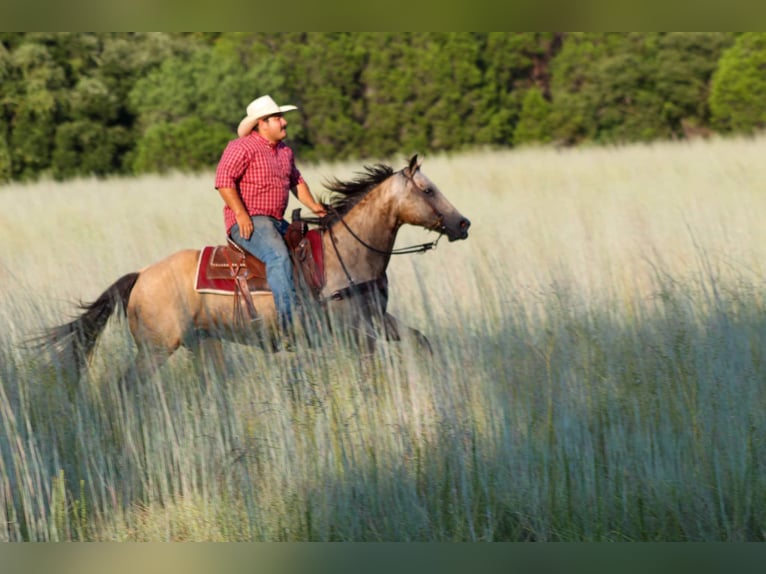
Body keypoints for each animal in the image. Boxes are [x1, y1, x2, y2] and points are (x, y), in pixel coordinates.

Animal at [39, 155, 470, 381]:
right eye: (428, 190)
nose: (463, 223)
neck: (348, 253)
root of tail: (140, 276)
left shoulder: (379, 321)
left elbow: (421, 341)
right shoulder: (355, 332)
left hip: (203, 345)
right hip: (155, 350)